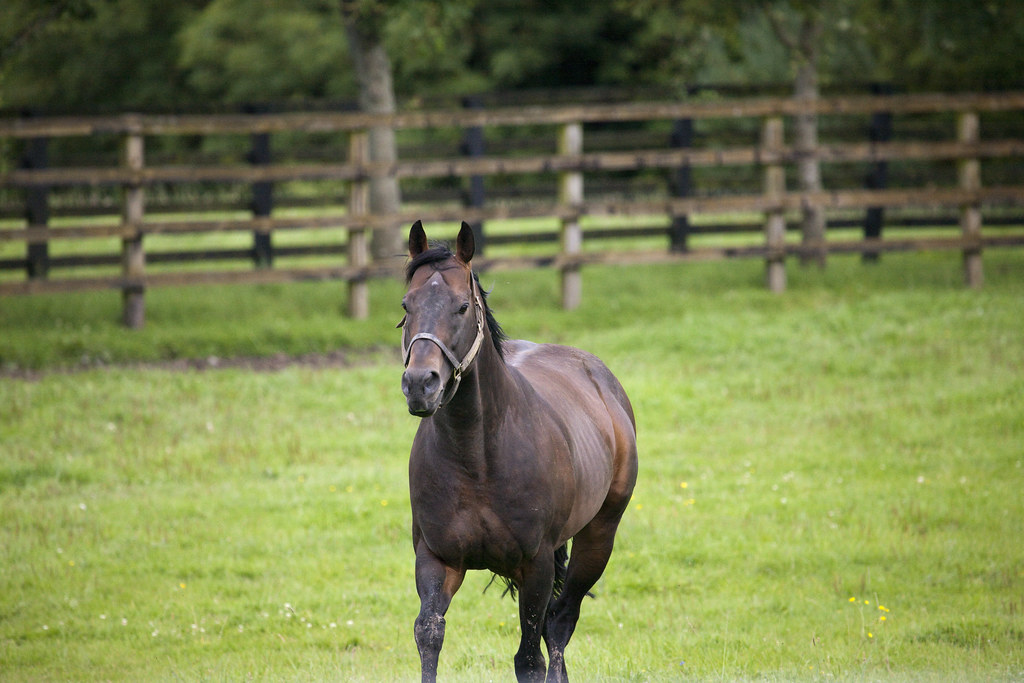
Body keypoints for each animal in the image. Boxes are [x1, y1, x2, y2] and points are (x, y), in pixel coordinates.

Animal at [399, 221, 638, 683]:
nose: (420, 384)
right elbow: (429, 635)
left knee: (560, 622)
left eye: (461, 307)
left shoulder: (536, 566)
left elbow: (529, 659)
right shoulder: (436, 559)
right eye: (406, 304)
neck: (477, 459)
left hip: (599, 536)